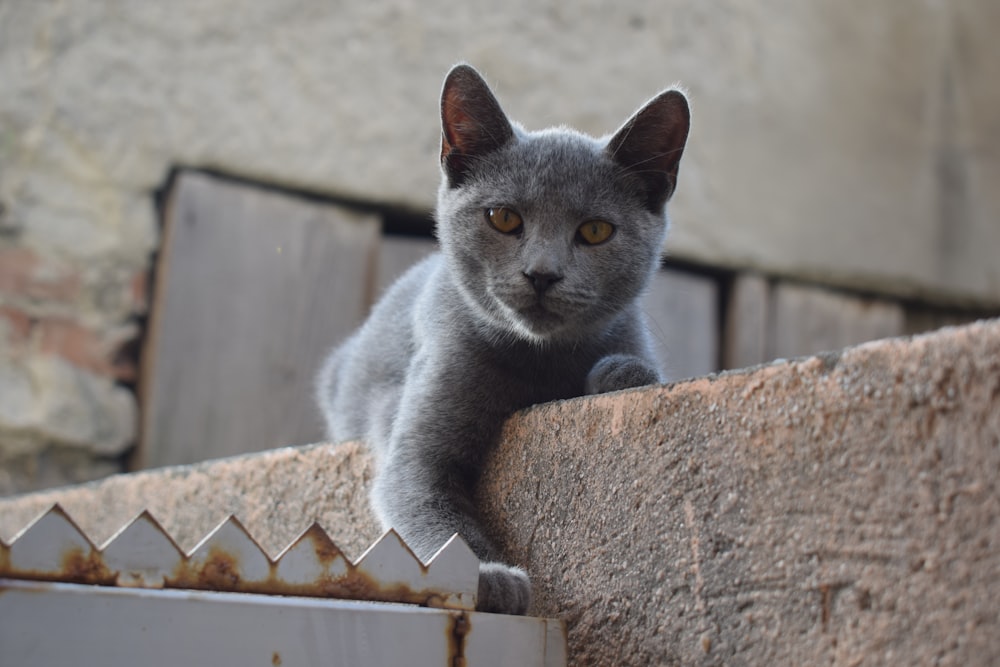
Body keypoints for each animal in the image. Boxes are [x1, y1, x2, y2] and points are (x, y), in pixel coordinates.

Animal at [316, 64, 692, 616]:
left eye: (596, 231)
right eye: (505, 218)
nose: (542, 274)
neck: (539, 362)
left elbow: (635, 365)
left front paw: (620, 373)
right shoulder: (423, 431)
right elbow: (423, 499)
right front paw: (489, 578)